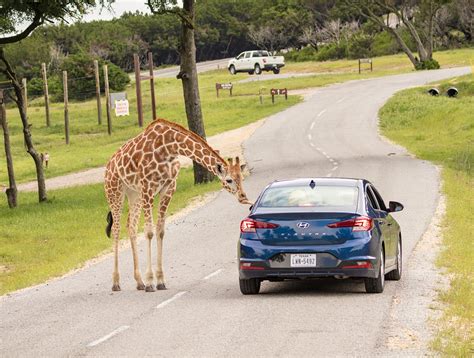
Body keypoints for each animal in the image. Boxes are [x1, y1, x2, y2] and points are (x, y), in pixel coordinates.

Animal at [104, 119, 252, 292]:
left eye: (241, 177)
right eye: (229, 180)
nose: (243, 197)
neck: (169, 147)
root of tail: (108, 165)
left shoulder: (168, 188)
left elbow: (160, 231)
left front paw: (160, 281)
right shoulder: (148, 187)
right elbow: (149, 232)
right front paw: (150, 282)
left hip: (134, 194)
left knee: (131, 226)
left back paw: (139, 282)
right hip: (115, 191)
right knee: (116, 228)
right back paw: (116, 283)